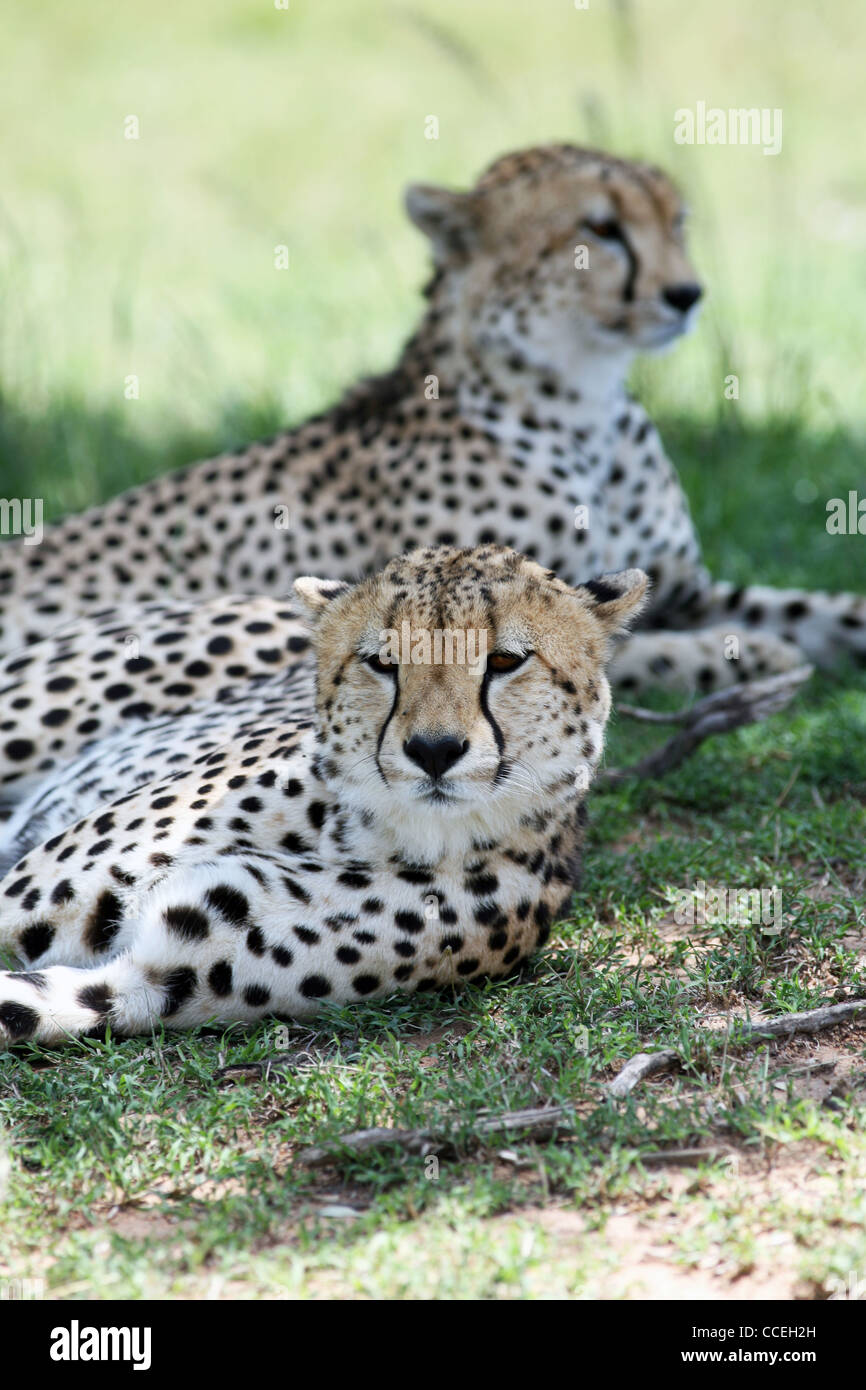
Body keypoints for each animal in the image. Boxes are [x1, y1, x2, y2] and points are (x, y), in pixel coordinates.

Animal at [0, 542, 650, 1045]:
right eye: (382, 662)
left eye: (505, 660)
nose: (434, 750)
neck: (369, 835)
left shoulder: (149, 977)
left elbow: (31, 1004)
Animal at [3, 146, 861, 706]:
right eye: (601, 229)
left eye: (677, 222)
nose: (687, 294)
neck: (586, 409)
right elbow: (630, 648)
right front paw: (749, 654)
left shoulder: (685, 585)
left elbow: (816, 605)